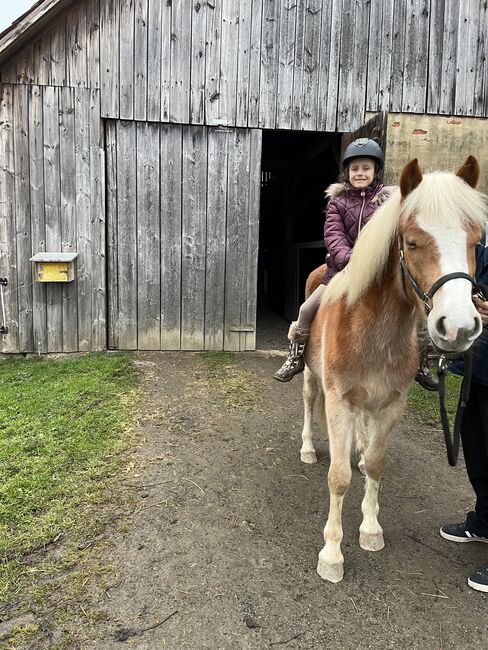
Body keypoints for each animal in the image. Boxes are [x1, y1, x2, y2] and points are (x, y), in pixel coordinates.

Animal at [304, 156, 486, 584]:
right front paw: (332, 555)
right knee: (308, 402)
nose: (459, 327)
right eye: (413, 242)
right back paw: (306, 448)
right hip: (312, 380)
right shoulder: (338, 401)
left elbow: (375, 463)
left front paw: (371, 530)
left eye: (475, 241)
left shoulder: (390, 405)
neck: (373, 330)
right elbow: (338, 477)